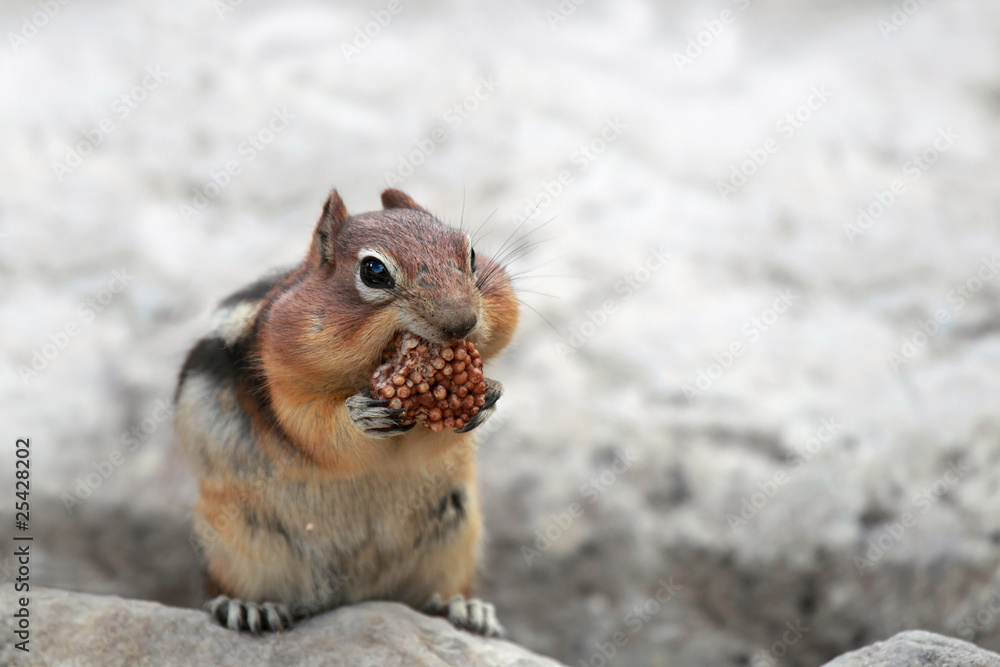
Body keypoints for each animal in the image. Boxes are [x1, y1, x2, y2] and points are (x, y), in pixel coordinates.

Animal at [174, 188, 518, 636]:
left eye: (472, 254)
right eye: (374, 271)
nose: (461, 323)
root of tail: (354, 595)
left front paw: (489, 396)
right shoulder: (284, 385)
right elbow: (319, 434)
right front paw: (360, 419)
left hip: (455, 537)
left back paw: (464, 609)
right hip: (236, 540)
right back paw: (250, 607)